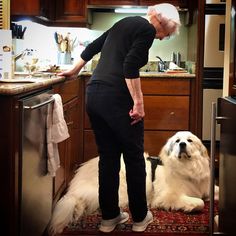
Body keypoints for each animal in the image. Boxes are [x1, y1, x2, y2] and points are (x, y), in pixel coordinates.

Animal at [48, 131, 218, 234]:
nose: (182, 144)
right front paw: (192, 208)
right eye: (177, 141)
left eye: (189, 140)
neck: (187, 168)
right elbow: (199, 202)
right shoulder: (168, 196)